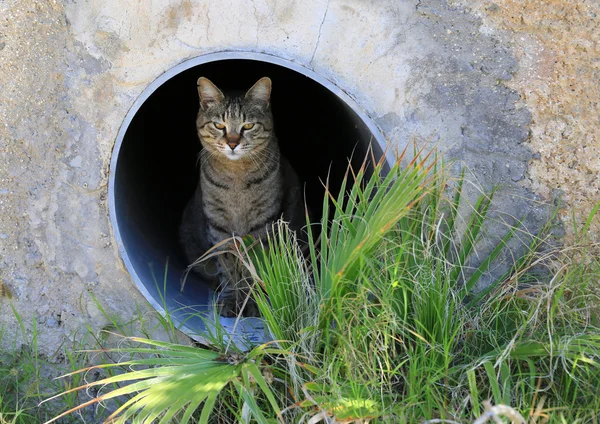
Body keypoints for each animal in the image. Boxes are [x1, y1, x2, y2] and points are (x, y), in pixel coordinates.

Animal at [176, 76, 302, 316]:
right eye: (219, 125)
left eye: (248, 126)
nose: (232, 143)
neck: (237, 177)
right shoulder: (219, 227)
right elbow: (228, 267)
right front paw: (232, 299)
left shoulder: (262, 226)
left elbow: (252, 267)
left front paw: (251, 301)